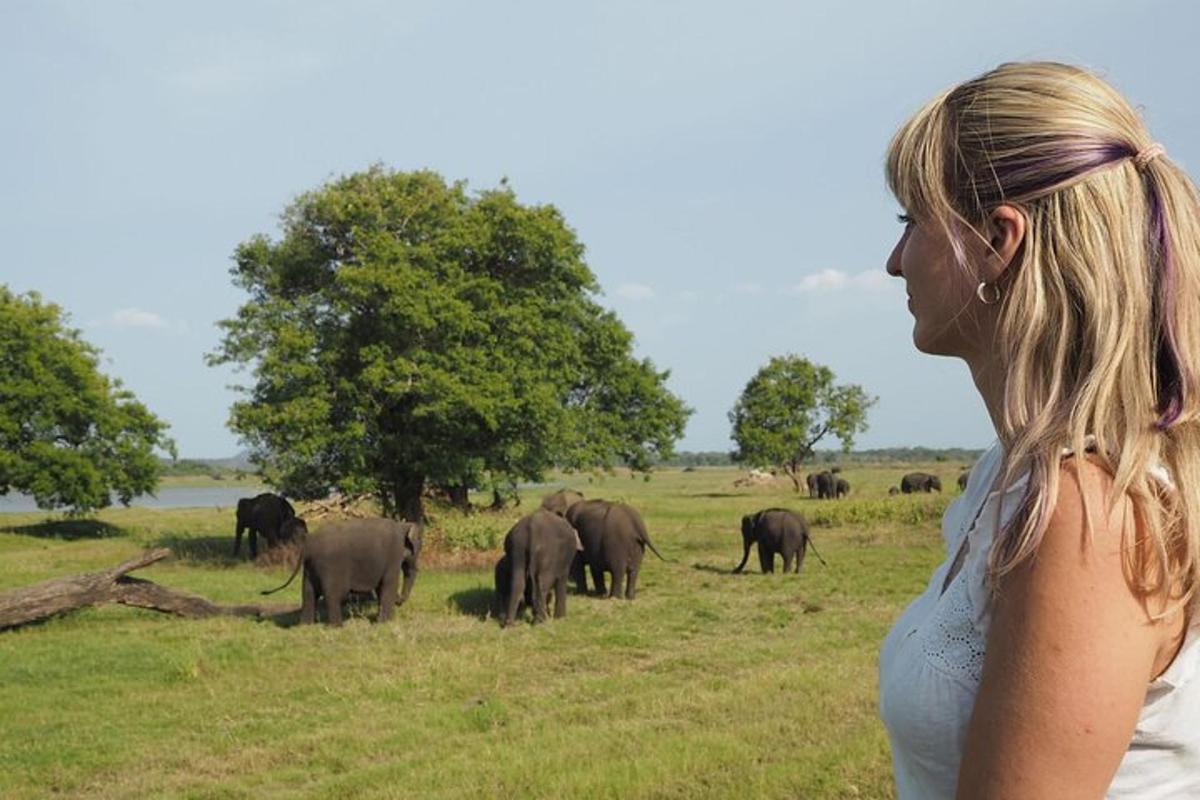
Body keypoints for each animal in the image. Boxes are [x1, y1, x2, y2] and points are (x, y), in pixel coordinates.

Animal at [261, 520, 422, 623]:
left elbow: (381, 587)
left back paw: (306, 626)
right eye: (418, 549)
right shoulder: (393, 555)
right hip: (330, 567)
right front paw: (386, 623)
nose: (399, 600)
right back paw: (337, 627)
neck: (403, 525)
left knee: (308, 594)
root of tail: (307, 545)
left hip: (309, 568)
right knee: (333, 594)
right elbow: (388, 583)